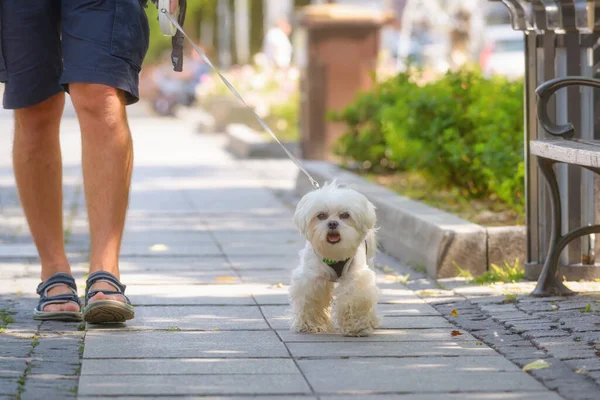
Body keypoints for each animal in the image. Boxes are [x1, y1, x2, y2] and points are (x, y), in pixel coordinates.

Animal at [290, 183, 380, 336]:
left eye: (345, 215)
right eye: (321, 216)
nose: (332, 223)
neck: (334, 254)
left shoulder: (356, 277)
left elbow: (355, 296)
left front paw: (356, 326)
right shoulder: (312, 277)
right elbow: (311, 298)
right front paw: (310, 324)